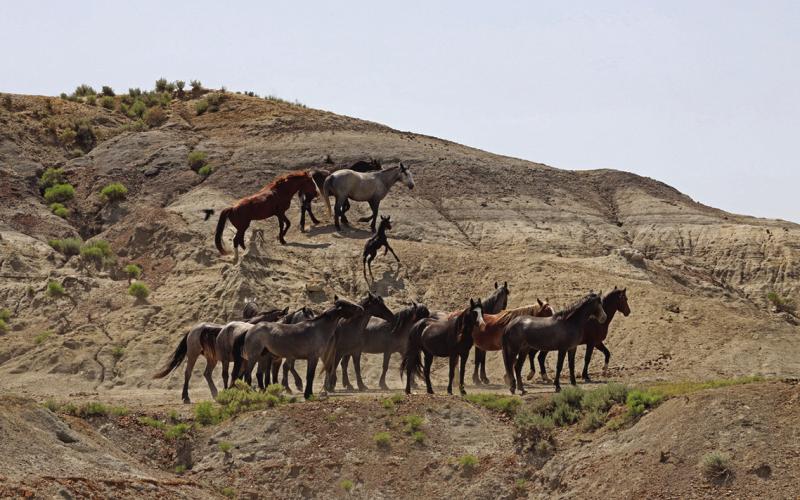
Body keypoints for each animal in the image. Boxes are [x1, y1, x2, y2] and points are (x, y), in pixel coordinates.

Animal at [152, 307, 287, 403]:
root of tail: (193, 329)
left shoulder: (247, 360)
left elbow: (242, 375)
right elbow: (236, 375)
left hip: (212, 359)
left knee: (207, 373)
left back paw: (215, 394)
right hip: (193, 354)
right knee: (188, 373)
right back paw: (186, 397)